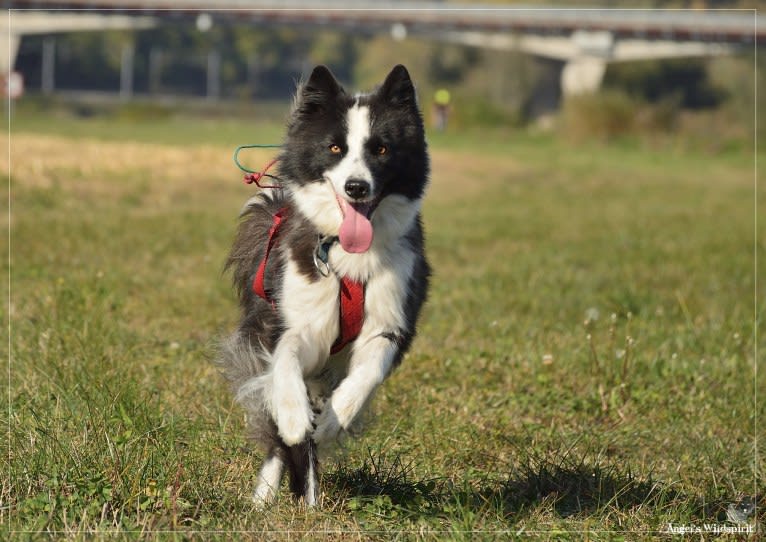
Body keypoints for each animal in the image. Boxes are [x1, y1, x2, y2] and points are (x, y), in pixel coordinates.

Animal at [219, 66, 428, 508]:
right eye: (334, 148)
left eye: (381, 149)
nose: (356, 187)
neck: (351, 257)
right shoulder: (297, 317)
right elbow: (287, 359)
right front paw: (295, 416)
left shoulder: (393, 319)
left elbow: (368, 372)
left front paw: (334, 419)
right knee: (278, 441)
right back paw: (270, 498)